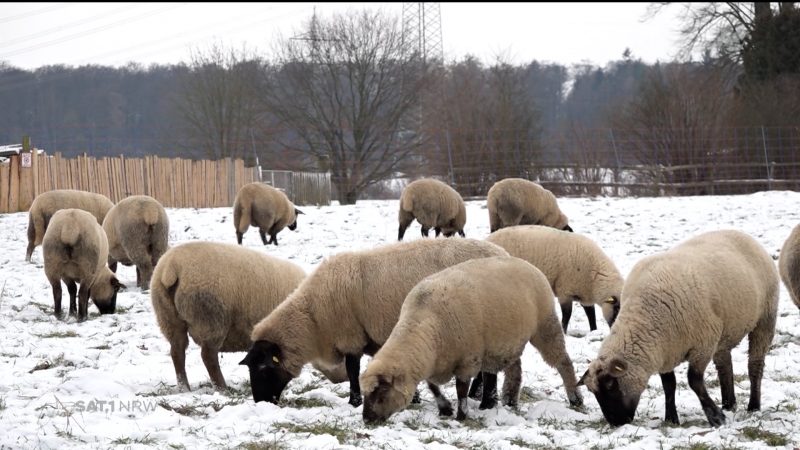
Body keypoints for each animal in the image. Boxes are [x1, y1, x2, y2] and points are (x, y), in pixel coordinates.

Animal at [150, 241, 344, 392]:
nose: (343, 380)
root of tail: (171, 267)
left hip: (169, 318)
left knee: (177, 352)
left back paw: (185, 387)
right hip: (211, 319)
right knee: (208, 356)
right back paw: (222, 388)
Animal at [241, 237, 510, 406]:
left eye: (263, 367)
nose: (260, 402)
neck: (313, 319)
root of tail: (504, 254)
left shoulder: (350, 335)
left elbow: (353, 370)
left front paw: (354, 401)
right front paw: (412, 399)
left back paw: (484, 400)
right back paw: (476, 395)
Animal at [360, 255, 580, 424]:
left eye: (382, 391)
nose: (367, 419)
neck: (425, 321)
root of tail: (527, 264)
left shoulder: (467, 359)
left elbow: (461, 389)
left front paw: (461, 414)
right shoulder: (433, 362)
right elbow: (433, 386)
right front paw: (445, 408)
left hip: (546, 325)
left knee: (563, 362)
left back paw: (575, 398)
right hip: (506, 341)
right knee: (514, 370)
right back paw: (508, 401)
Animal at [482, 225, 624, 334]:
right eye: (617, 308)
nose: (616, 330)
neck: (594, 277)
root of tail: (487, 238)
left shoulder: (583, 295)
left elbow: (591, 315)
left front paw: (594, 331)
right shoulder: (565, 292)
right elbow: (567, 316)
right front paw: (564, 332)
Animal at [580, 230, 780, 428]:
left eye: (610, 385)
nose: (616, 422)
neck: (644, 316)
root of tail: (743, 235)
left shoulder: (703, 344)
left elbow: (694, 380)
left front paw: (716, 417)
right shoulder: (663, 351)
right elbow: (669, 385)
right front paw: (671, 418)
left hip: (765, 319)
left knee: (755, 364)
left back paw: (753, 406)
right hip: (724, 334)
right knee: (725, 366)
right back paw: (729, 404)